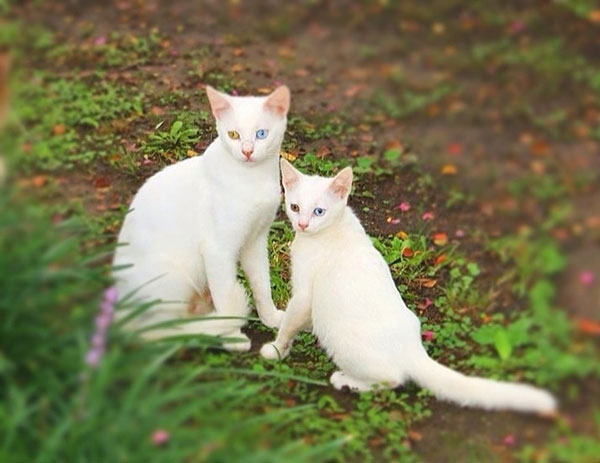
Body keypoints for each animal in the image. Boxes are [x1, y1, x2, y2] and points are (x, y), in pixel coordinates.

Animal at [262, 160, 556, 416]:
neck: (331, 230)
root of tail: (413, 349)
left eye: (319, 211)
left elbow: (290, 322)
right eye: (295, 207)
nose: (302, 224)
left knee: (392, 378)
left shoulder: (304, 294)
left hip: (341, 341)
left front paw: (276, 349)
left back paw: (346, 381)